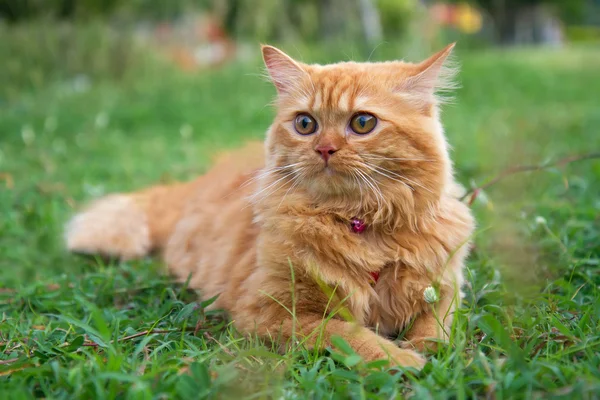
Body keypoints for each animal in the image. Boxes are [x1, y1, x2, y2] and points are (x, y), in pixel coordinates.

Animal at [65, 43, 476, 368]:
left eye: (363, 122)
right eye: (305, 124)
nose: (324, 149)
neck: (358, 222)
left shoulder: (446, 287)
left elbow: (436, 327)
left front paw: (428, 350)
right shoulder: (271, 311)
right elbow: (348, 334)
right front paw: (405, 360)